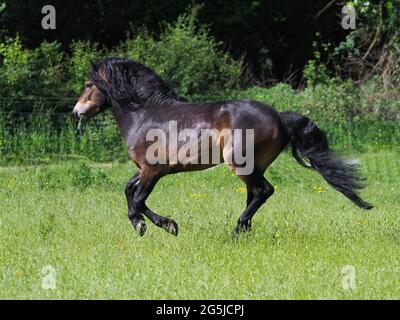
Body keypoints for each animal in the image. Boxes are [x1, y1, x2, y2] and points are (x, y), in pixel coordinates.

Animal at [71, 57, 372, 238]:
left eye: (88, 84)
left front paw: (150, 225)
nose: (76, 113)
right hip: (254, 166)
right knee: (255, 194)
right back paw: (244, 230)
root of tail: (279, 116)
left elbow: (137, 201)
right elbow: (129, 191)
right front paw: (165, 225)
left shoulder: (152, 171)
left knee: (263, 191)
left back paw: (236, 231)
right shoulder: (147, 169)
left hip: (240, 164)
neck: (146, 113)